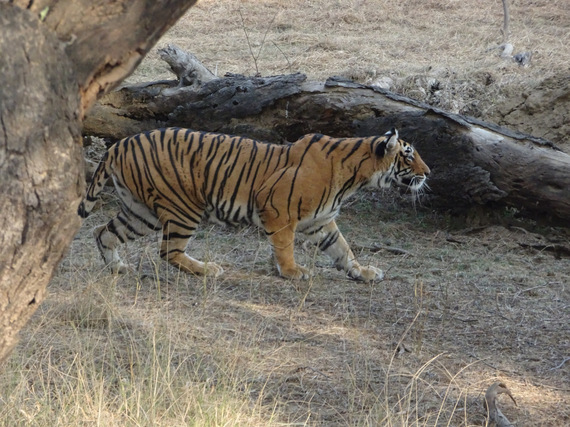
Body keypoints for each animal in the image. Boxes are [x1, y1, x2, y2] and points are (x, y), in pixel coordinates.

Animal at [77, 127, 428, 280]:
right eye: (408, 155)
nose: (428, 173)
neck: (355, 178)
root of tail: (118, 145)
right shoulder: (279, 210)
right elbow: (284, 246)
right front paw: (292, 271)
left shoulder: (321, 222)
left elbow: (343, 249)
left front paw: (363, 272)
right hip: (183, 207)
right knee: (168, 251)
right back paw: (208, 270)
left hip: (141, 212)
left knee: (102, 232)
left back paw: (118, 267)